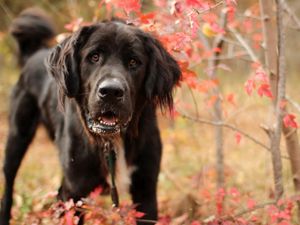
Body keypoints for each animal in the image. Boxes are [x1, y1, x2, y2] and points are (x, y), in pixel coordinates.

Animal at [0, 7, 180, 224]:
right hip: (17, 138)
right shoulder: (76, 192)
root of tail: (34, 53)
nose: (110, 92)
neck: (111, 140)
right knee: (8, 187)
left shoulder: (145, 191)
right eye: (94, 57)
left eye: (134, 62)